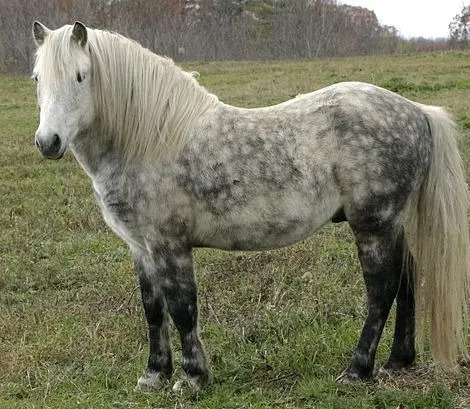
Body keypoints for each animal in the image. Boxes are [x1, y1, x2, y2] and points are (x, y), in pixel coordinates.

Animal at [31, 21, 468, 388]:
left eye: (80, 75)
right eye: (37, 78)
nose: (48, 142)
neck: (152, 140)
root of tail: (416, 111)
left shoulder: (170, 245)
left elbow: (182, 307)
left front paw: (192, 379)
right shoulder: (140, 247)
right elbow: (153, 310)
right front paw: (154, 375)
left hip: (373, 224)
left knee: (382, 288)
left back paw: (356, 370)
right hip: (391, 223)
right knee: (408, 277)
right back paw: (399, 361)